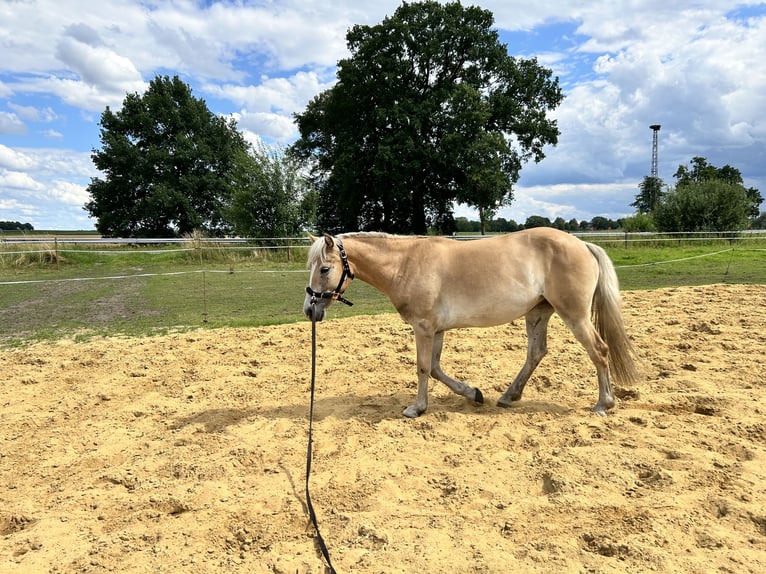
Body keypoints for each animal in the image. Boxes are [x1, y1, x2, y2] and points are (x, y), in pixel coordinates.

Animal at [304, 227, 640, 420]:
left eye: (324, 269)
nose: (309, 309)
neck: (406, 264)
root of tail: (582, 244)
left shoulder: (423, 327)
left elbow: (423, 368)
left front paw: (416, 408)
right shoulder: (436, 330)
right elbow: (436, 369)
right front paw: (473, 394)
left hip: (575, 315)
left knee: (599, 351)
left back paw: (603, 404)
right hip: (538, 313)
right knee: (536, 353)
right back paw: (508, 397)